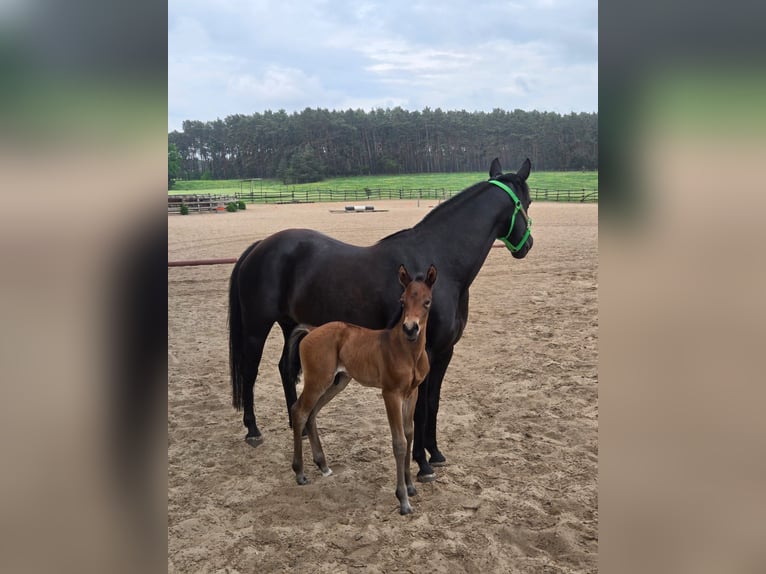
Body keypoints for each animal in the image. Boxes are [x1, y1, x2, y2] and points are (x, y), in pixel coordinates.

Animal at [229, 157, 533, 481]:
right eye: (526, 202)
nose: (527, 245)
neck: (442, 263)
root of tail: (260, 246)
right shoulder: (425, 352)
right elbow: (419, 410)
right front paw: (422, 464)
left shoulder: (444, 353)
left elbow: (434, 403)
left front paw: (435, 453)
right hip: (256, 328)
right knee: (249, 371)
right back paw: (253, 430)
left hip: (291, 326)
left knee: (286, 370)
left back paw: (295, 425)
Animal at [288, 264, 436, 515]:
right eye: (402, 301)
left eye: (427, 302)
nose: (410, 328)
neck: (408, 351)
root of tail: (312, 330)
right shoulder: (390, 394)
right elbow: (399, 442)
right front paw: (403, 499)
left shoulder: (412, 393)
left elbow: (409, 433)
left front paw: (410, 486)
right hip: (318, 380)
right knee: (299, 411)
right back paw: (299, 472)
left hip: (338, 381)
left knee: (312, 413)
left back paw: (323, 465)